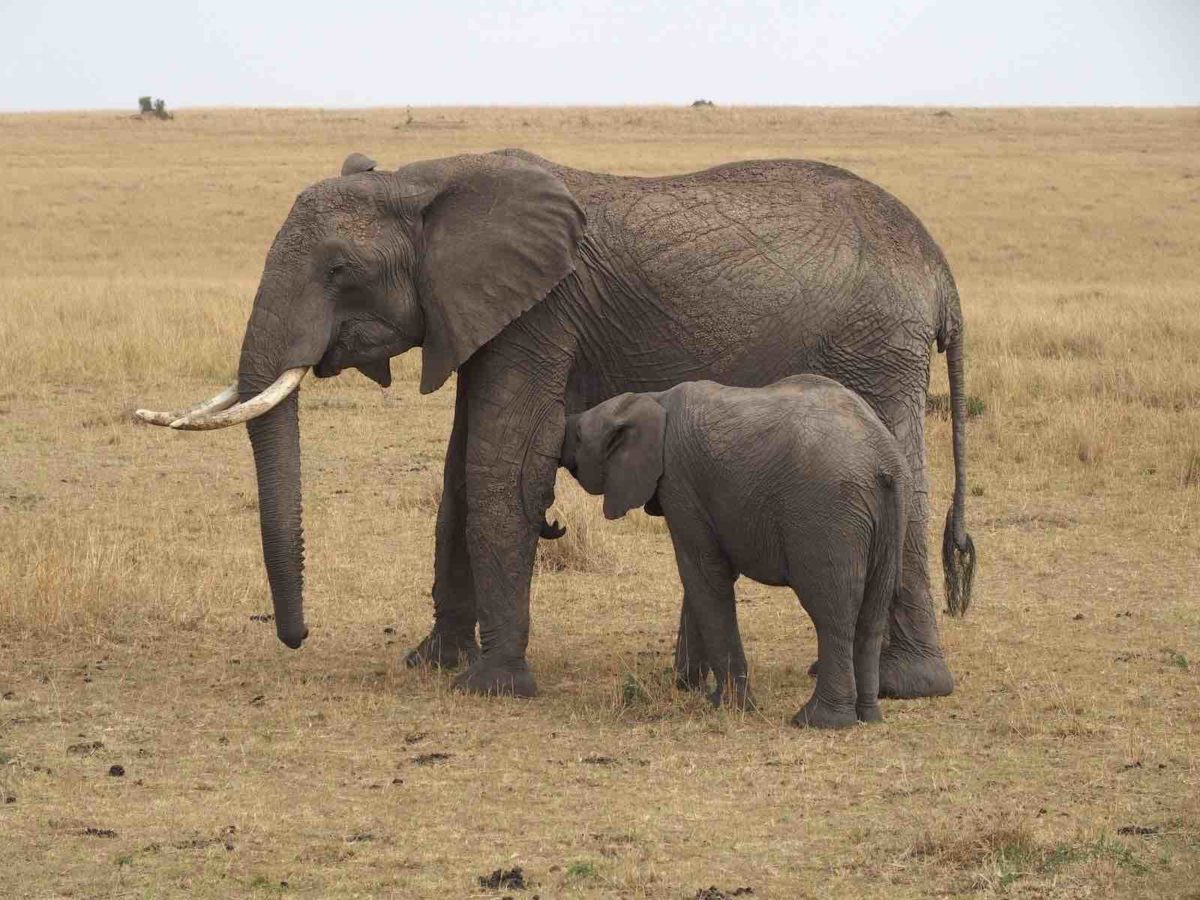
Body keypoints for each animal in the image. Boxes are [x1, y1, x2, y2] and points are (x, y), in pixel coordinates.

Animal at [561, 376, 907, 729]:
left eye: (579, 436)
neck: (651, 399)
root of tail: (882, 461)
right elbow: (702, 579)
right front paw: (700, 692)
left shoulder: (679, 481)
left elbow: (703, 573)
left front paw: (730, 706)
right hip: (889, 516)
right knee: (872, 613)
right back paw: (869, 717)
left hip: (826, 513)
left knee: (831, 613)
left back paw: (816, 721)